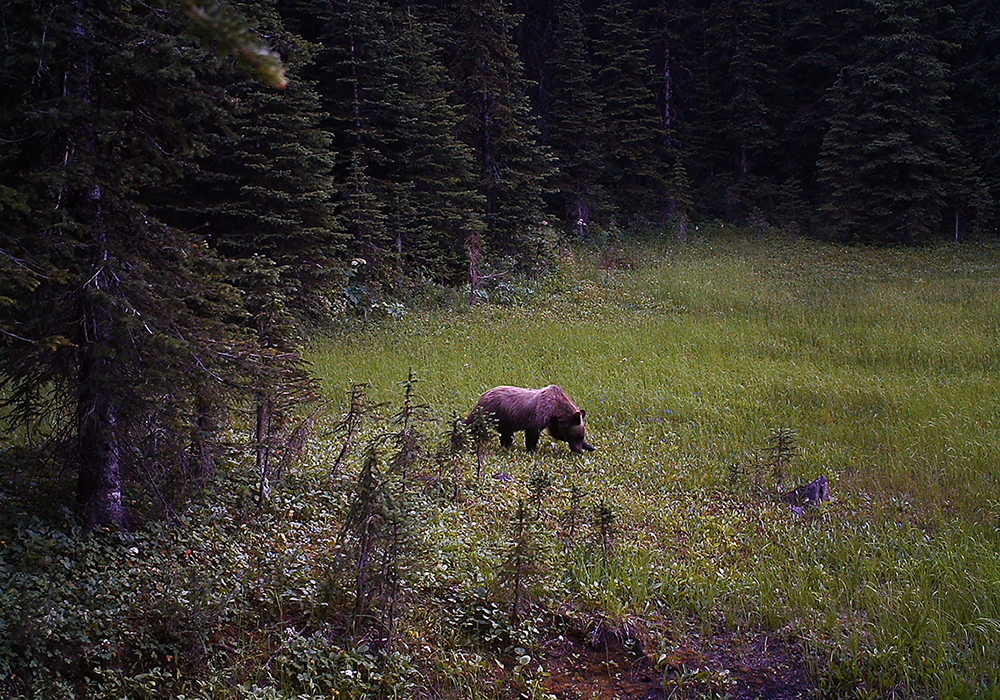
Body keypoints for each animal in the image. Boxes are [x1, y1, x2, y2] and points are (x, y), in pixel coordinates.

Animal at [466, 385, 596, 453]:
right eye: (579, 436)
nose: (579, 450)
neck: (556, 409)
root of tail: (484, 394)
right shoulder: (541, 413)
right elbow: (533, 433)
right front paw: (532, 450)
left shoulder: (554, 421)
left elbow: (557, 433)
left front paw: (590, 446)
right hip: (491, 412)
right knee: (473, 424)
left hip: (505, 419)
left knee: (506, 434)